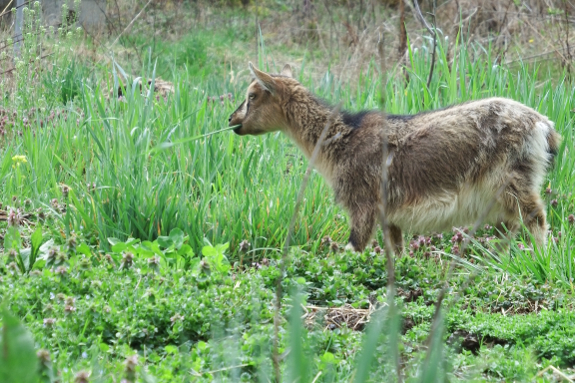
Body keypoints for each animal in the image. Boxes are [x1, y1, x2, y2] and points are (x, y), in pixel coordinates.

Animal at [230, 62, 564, 255]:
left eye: (252, 96)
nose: (233, 121)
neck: (341, 140)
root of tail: (544, 125)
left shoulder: (362, 202)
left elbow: (353, 249)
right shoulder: (389, 216)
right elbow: (397, 252)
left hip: (510, 179)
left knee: (536, 216)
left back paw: (542, 259)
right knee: (515, 225)